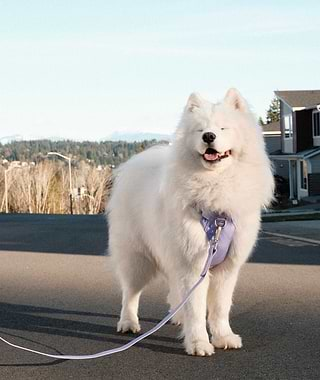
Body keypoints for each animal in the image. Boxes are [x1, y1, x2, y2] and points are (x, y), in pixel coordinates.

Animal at [107, 89, 272, 356]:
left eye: (223, 128)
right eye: (200, 130)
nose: (209, 136)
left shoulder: (226, 267)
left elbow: (220, 308)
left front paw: (224, 337)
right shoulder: (193, 265)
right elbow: (196, 309)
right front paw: (198, 343)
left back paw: (177, 316)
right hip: (137, 258)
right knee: (130, 293)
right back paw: (128, 323)